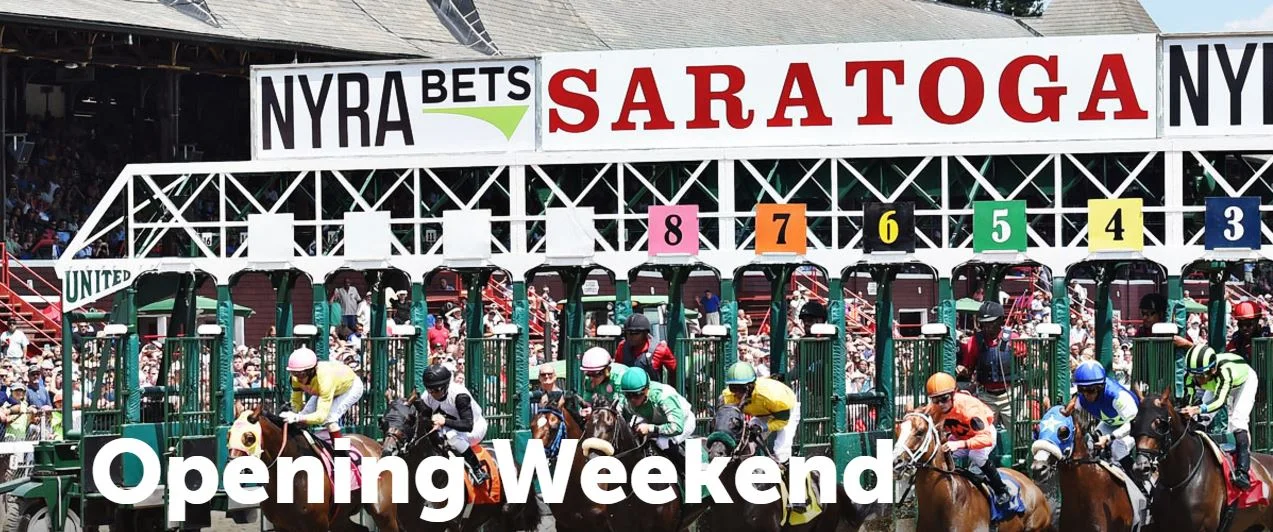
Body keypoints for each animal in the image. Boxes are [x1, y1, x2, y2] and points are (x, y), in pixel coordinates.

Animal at [226, 404, 400, 532]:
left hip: (383, 512)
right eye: (229, 435)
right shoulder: (282, 525)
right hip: (339, 518)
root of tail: (377, 446)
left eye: (249, 437)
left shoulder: (318, 524)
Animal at [379, 393, 543, 532]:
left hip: (507, 515)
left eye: (409, 419)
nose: (388, 451)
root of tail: (517, 463)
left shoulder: (452, 525)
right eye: (383, 421)